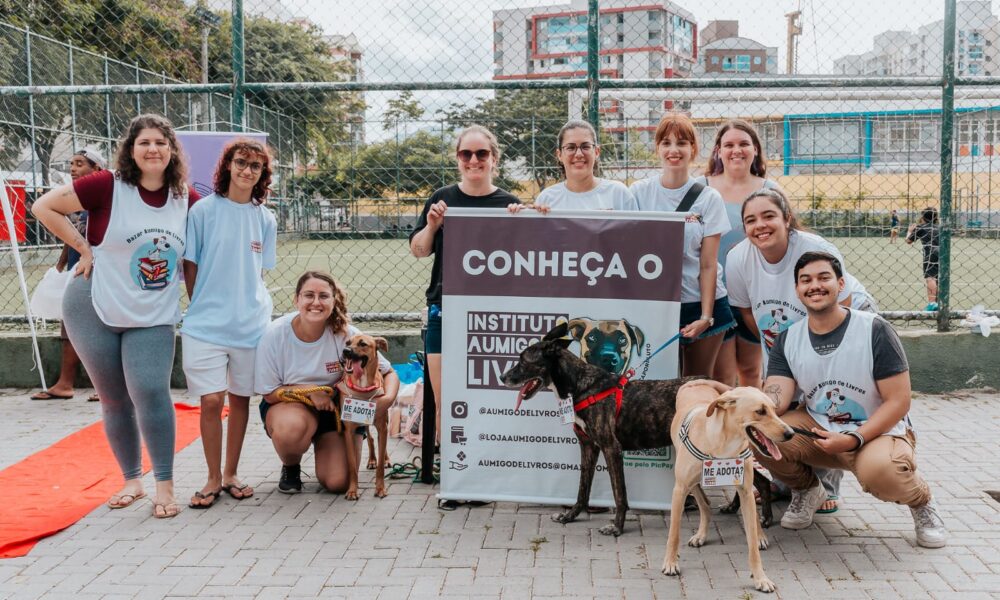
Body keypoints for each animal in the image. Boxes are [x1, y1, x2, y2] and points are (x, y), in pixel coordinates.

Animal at [340, 336, 394, 500]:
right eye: (347, 343)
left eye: (363, 344)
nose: (345, 351)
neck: (362, 386)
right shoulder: (348, 432)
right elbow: (352, 465)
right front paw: (352, 490)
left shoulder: (382, 427)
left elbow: (381, 466)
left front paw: (380, 488)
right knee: (370, 438)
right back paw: (371, 460)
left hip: (384, 421)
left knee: (381, 444)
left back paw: (385, 459)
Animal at [500, 322, 696, 536]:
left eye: (523, 360)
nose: (502, 377)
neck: (579, 385)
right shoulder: (588, 446)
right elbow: (582, 489)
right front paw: (570, 516)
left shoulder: (611, 448)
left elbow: (619, 494)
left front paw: (617, 527)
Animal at [660, 382, 792, 592]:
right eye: (760, 411)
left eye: (774, 409)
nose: (790, 433)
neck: (723, 444)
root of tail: (696, 381)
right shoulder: (680, 489)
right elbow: (674, 533)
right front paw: (671, 563)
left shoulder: (745, 490)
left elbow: (752, 543)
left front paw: (760, 577)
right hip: (691, 482)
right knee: (704, 504)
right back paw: (701, 534)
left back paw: (760, 535)